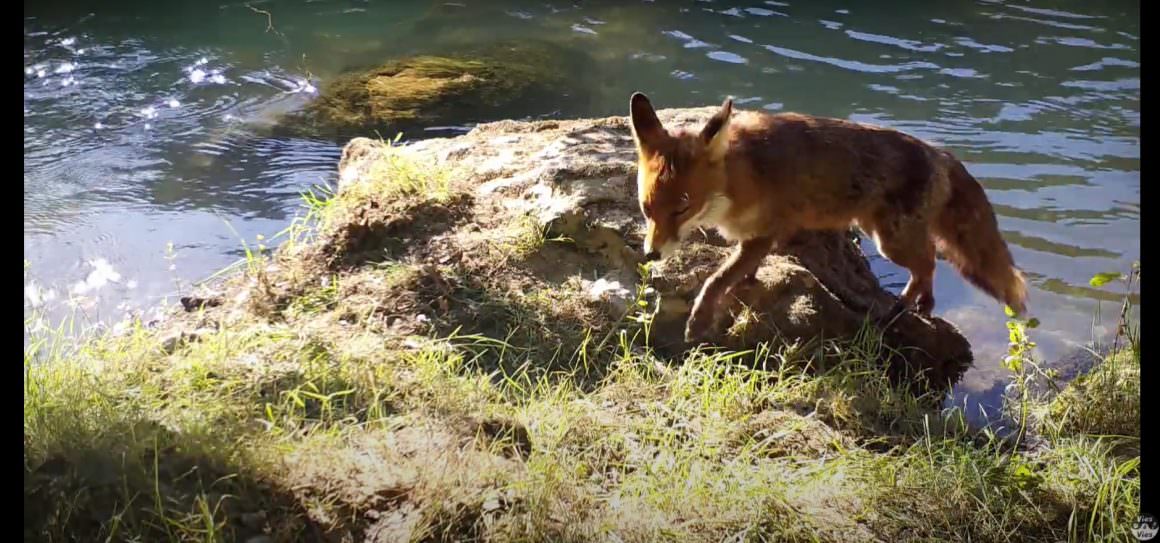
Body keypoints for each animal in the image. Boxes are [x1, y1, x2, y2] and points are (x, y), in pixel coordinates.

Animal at [631, 91, 1030, 341]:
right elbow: (740, 272)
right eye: (647, 209)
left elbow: (717, 280)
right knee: (929, 260)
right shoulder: (753, 238)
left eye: (682, 207)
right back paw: (922, 303)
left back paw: (903, 305)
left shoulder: (765, 233)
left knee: (928, 260)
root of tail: (941, 153)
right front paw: (748, 283)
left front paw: (699, 321)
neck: (742, 176)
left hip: (890, 241)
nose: (650, 254)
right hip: (885, 234)